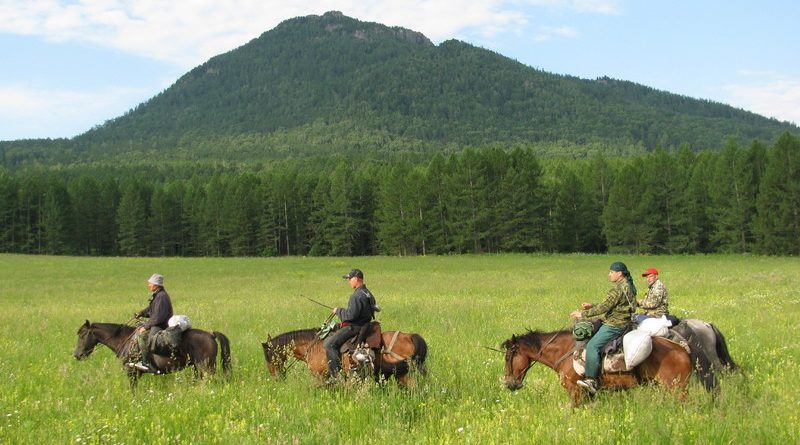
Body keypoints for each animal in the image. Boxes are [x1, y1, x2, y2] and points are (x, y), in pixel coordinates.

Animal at [73, 320, 231, 386]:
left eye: (81, 335)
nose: (77, 355)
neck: (124, 339)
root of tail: (211, 335)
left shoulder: (131, 371)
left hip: (206, 367)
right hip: (197, 368)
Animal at [260, 326, 424, 386]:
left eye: (269, 358)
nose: (276, 379)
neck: (312, 346)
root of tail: (409, 336)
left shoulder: (319, 377)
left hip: (405, 376)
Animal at [500, 326, 712, 406]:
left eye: (508, 356)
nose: (510, 383)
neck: (565, 351)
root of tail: (683, 349)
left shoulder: (575, 392)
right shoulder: (588, 394)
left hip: (678, 389)